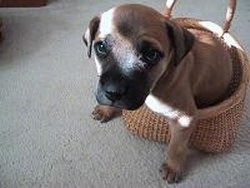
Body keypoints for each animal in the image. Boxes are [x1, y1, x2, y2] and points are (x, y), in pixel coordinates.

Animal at [83, 3, 232, 183]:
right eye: (101, 47)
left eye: (151, 54)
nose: (113, 92)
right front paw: (106, 109)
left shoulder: (184, 118)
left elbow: (176, 146)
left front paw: (172, 167)